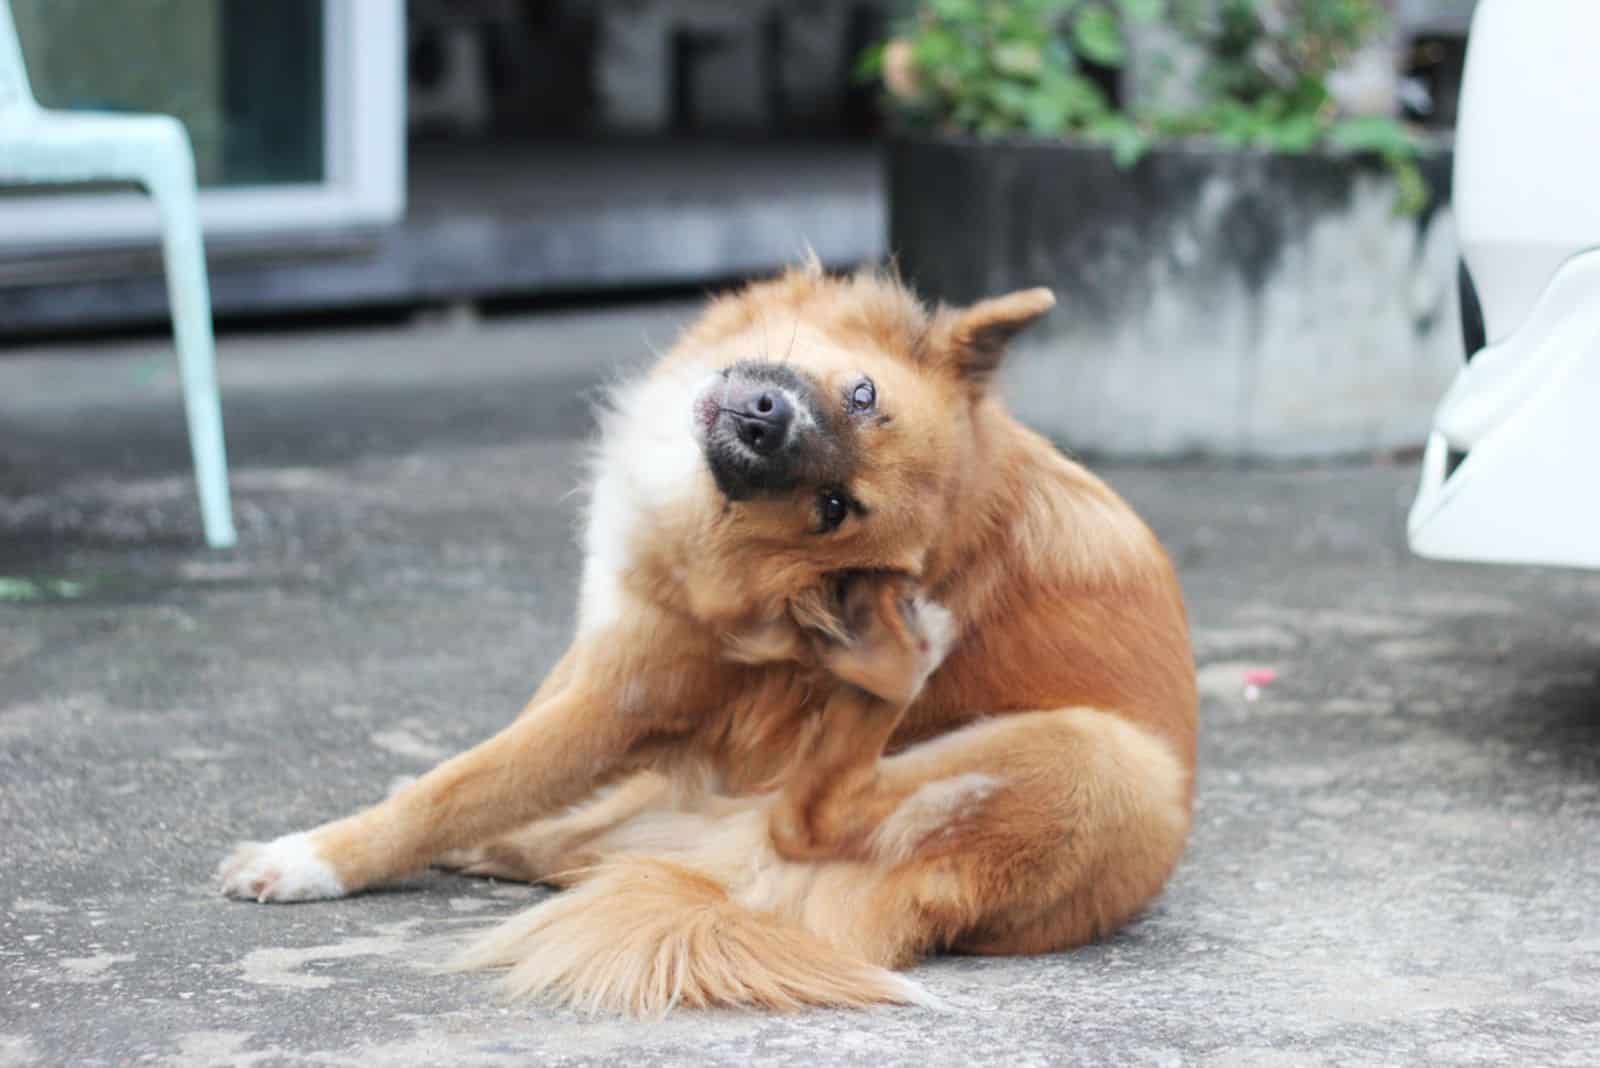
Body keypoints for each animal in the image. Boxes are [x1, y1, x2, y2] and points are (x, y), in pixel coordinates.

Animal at [225, 262, 1203, 1016]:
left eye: (832, 509)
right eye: (863, 395)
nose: (763, 418)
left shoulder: (621, 699)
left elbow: (458, 787)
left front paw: (315, 859)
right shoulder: (606, 633)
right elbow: (493, 767)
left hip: (1104, 760)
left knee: (809, 818)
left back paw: (890, 678)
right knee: (610, 840)